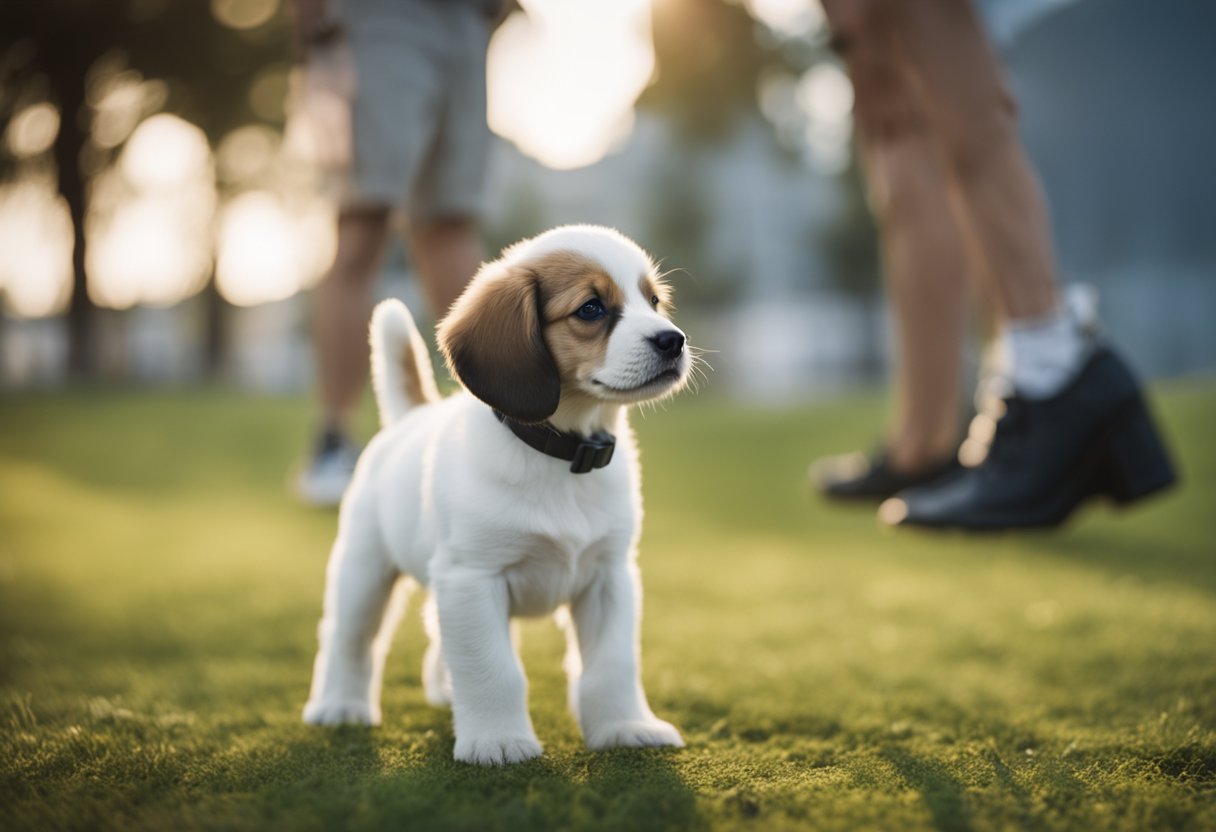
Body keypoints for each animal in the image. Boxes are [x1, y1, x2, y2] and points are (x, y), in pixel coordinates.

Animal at [304, 223, 695, 763]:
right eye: (591, 309)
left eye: (654, 301)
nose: (673, 340)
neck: (561, 457)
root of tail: (412, 415)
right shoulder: (473, 578)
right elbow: (494, 670)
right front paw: (499, 741)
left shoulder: (609, 579)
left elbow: (611, 667)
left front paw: (625, 727)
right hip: (364, 572)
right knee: (350, 639)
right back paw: (340, 706)